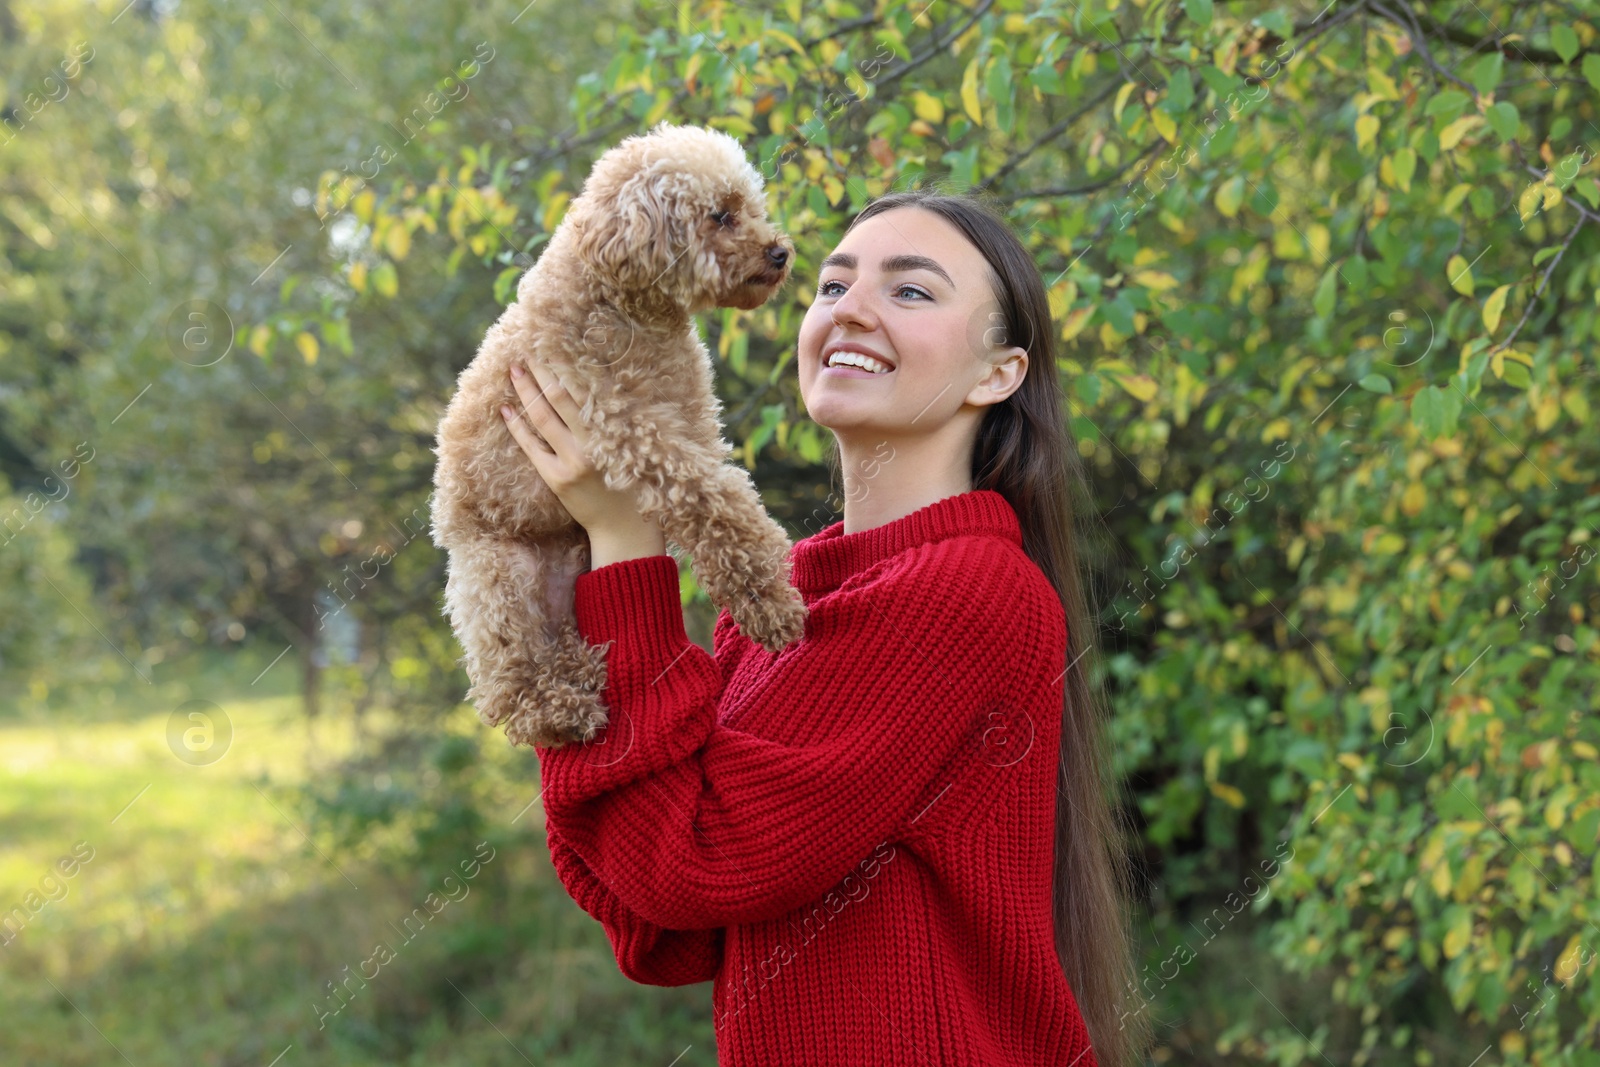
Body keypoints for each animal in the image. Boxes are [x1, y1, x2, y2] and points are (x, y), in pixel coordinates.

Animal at [425, 119, 806, 751]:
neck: (631, 307)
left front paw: (768, 591)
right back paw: (560, 710)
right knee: (509, 678)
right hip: (496, 576)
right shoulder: (628, 429)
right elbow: (715, 503)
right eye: (720, 215)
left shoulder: (694, 425)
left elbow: (727, 499)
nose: (780, 252)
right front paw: (769, 599)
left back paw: (582, 670)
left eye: (750, 207)